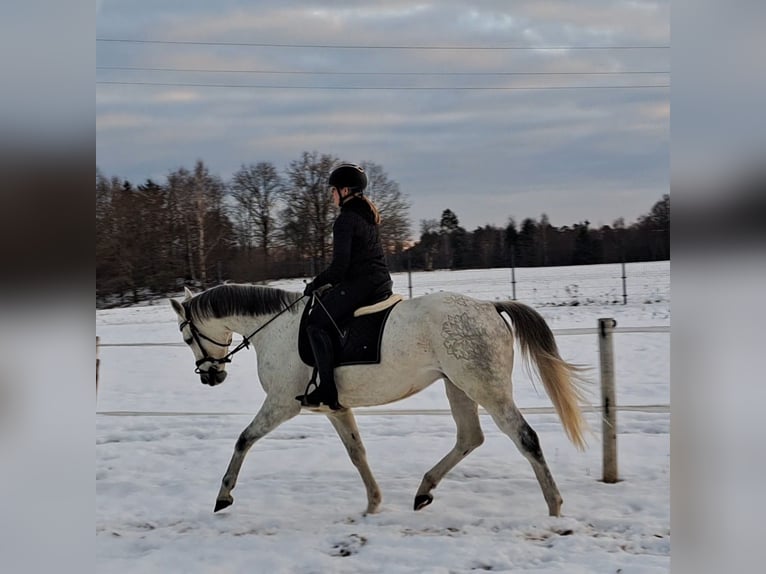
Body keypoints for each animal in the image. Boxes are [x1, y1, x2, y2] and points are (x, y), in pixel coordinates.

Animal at [169, 283, 590, 517]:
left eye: (187, 337)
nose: (210, 376)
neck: (276, 328)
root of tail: (490, 306)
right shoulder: (335, 408)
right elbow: (357, 453)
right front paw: (373, 502)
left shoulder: (281, 404)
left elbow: (244, 439)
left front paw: (224, 496)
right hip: (458, 386)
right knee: (470, 437)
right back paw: (423, 491)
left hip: (486, 387)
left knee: (525, 438)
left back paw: (555, 506)